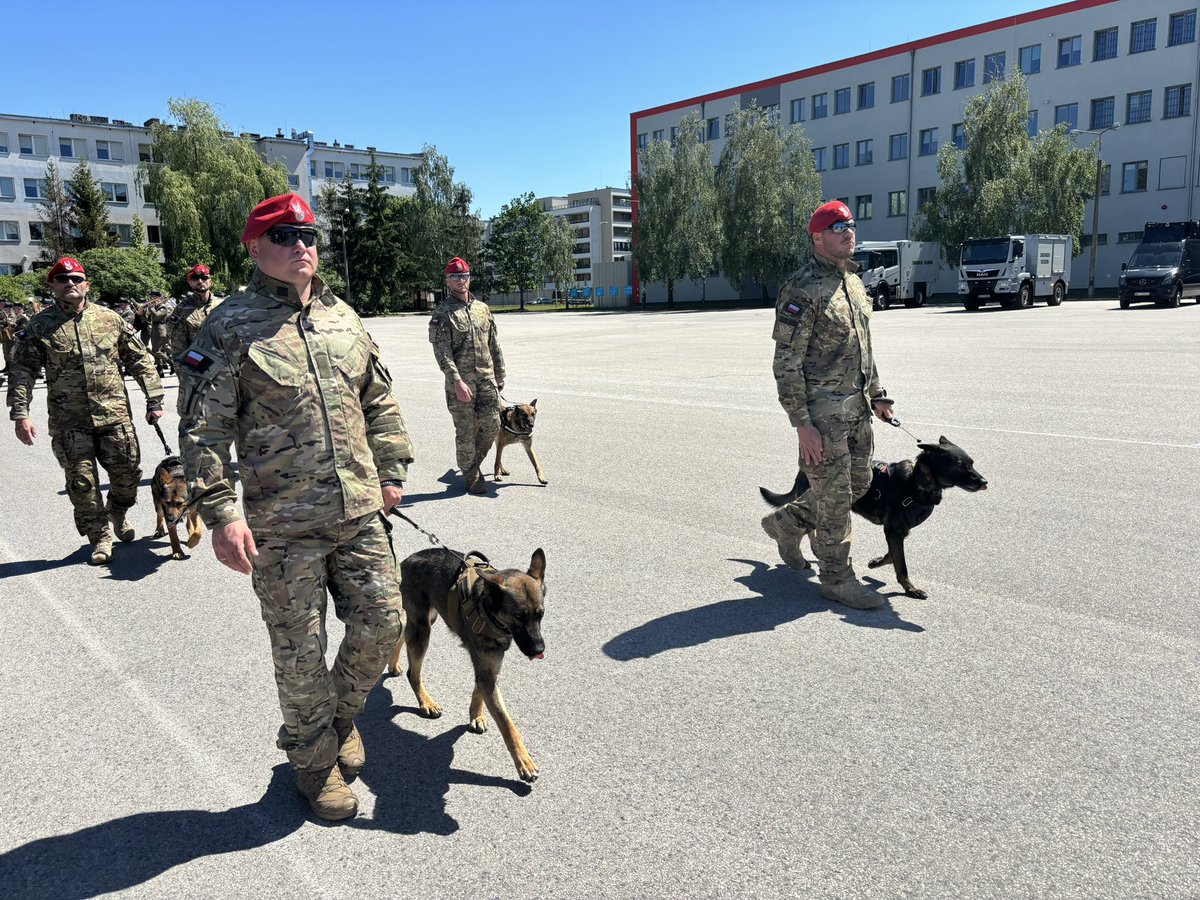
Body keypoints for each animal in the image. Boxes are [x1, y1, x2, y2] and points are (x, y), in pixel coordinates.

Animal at [388, 547, 549, 787]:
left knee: (401, 633)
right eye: (519, 616)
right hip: (423, 630)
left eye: (541, 614)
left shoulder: (488, 670)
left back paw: (394, 663)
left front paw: (476, 716)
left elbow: (478, 691)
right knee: (413, 672)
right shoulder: (487, 673)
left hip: (427, 619)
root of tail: (407, 560)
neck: (489, 610)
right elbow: (507, 725)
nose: (539, 649)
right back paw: (426, 703)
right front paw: (524, 762)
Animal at [763, 434, 988, 600]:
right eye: (960, 465)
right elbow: (902, 564)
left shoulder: (898, 531)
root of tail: (802, 470)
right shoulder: (894, 530)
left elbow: (893, 555)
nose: (984, 482)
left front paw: (878, 562)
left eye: (972, 463)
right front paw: (910, 588)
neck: (920, 480)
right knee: (804, 525)